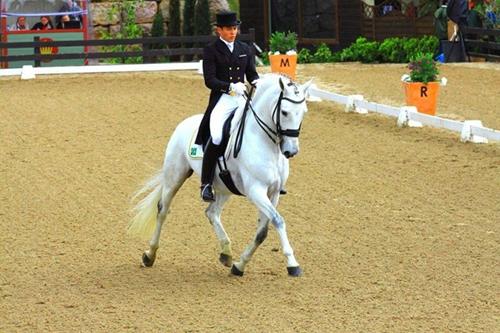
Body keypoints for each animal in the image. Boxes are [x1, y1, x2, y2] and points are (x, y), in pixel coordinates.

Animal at [127, 74, 310, 276]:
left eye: (304, 112)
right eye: (284, 112)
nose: (291, 151)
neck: (265, 143)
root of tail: (185, 123)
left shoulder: (274, 192)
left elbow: (262, 232)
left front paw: (239, 266)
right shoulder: (256, 191)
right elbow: (278, 221)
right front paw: (292, 264)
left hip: (224, 187)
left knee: (211, 213)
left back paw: (226, 252)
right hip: (175, 175)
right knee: (162, 210)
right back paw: (149, 254)